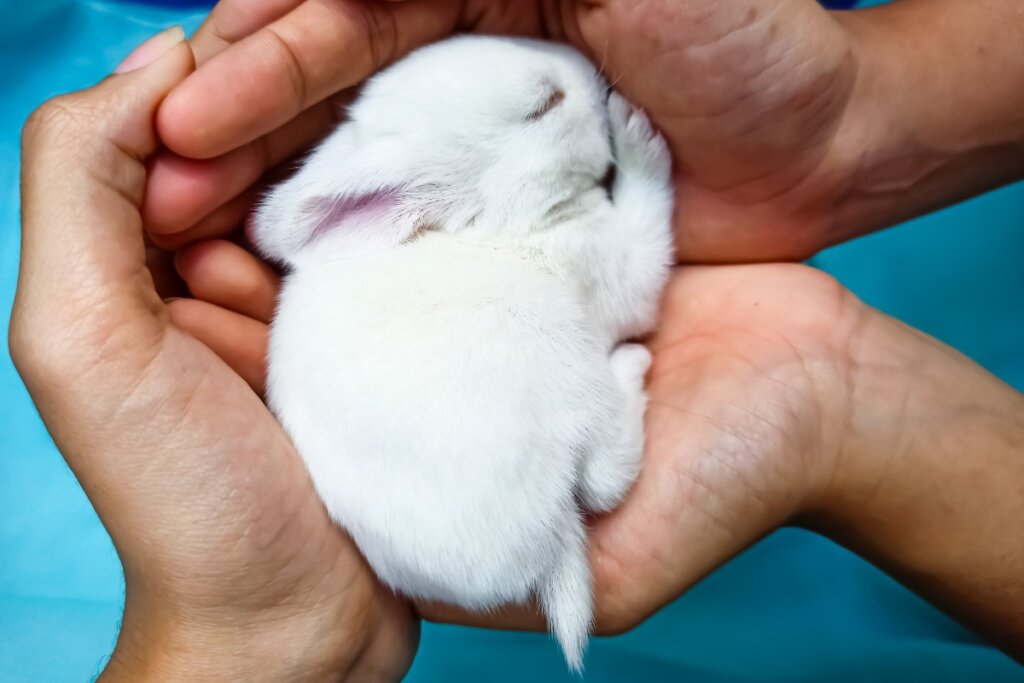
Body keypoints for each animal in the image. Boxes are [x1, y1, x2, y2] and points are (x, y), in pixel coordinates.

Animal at [251, 34, 675, 671]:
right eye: (544, 105)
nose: (583, 65)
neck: (490, 223)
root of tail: (547, 536)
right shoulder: (611, 263)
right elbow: (647, 241)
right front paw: (637, 134)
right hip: (568, 365)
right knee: (606, 477)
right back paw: (632, 365)